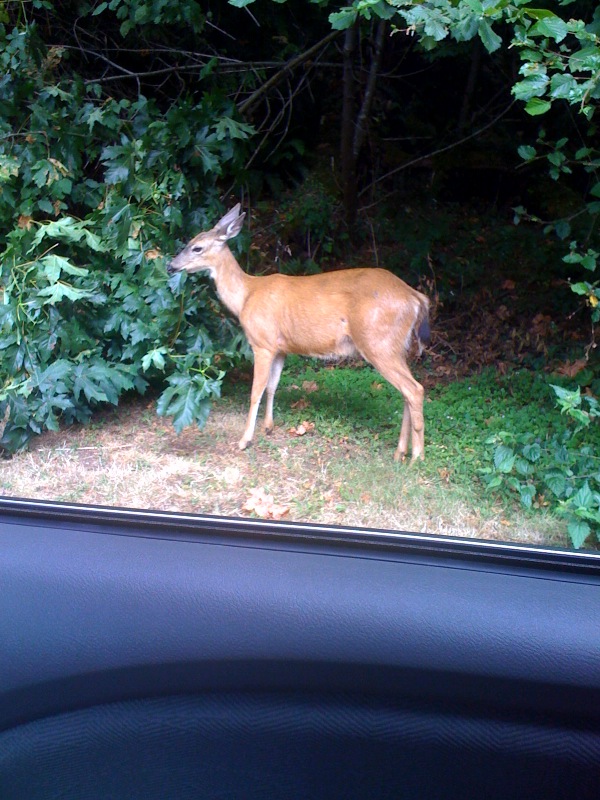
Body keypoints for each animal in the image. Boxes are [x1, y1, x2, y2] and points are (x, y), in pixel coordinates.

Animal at [167, 205, 430, 461]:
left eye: (197, 247)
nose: (171, 266)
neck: (246, 296)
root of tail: (416, 298)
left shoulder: (262, 343)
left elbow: (256, 391)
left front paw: (244, 440)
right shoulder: (281, 348)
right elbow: (272, 386)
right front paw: (268, 427)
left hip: (377, 342)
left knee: (414, 390)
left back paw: (416, 457)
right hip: (396, 346)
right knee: (407, 391)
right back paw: (400, 453)